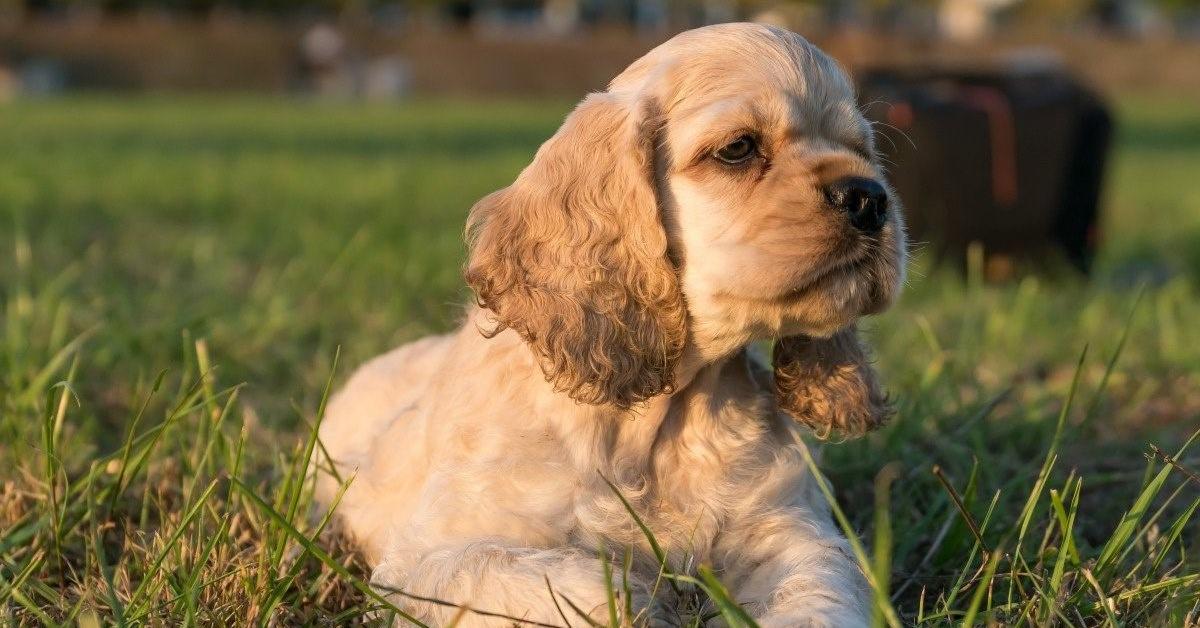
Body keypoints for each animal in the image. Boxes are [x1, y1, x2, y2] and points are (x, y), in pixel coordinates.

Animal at [314, 22, 902, 624]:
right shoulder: (435, 557)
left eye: (861, 152)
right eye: (738, 149)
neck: (659, 418)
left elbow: (816, 595)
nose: (869, 198)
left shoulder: (789, 529)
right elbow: (589, 591)